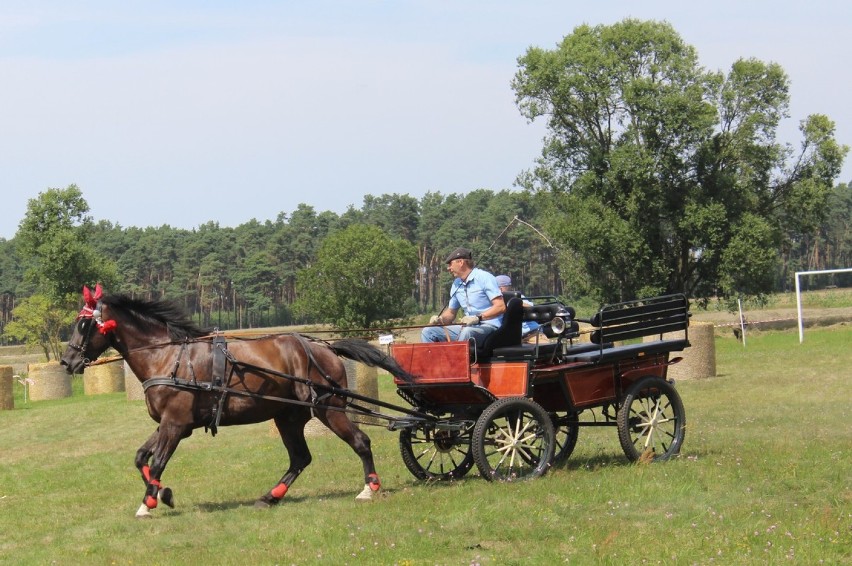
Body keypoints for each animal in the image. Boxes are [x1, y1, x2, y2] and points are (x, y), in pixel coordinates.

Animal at [60, 286, 416, 520]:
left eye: (83, 324)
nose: (66, 362)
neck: (168, 356)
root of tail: (324, 346)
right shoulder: (173, 424)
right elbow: (140, 458)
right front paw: (161, 493)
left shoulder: (175, 423)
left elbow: (158, 462)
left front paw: (148, 504)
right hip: (289, 418)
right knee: (300, 458)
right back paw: (270, 497)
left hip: (329, 409)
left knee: (360, 441)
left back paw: (370, 488)